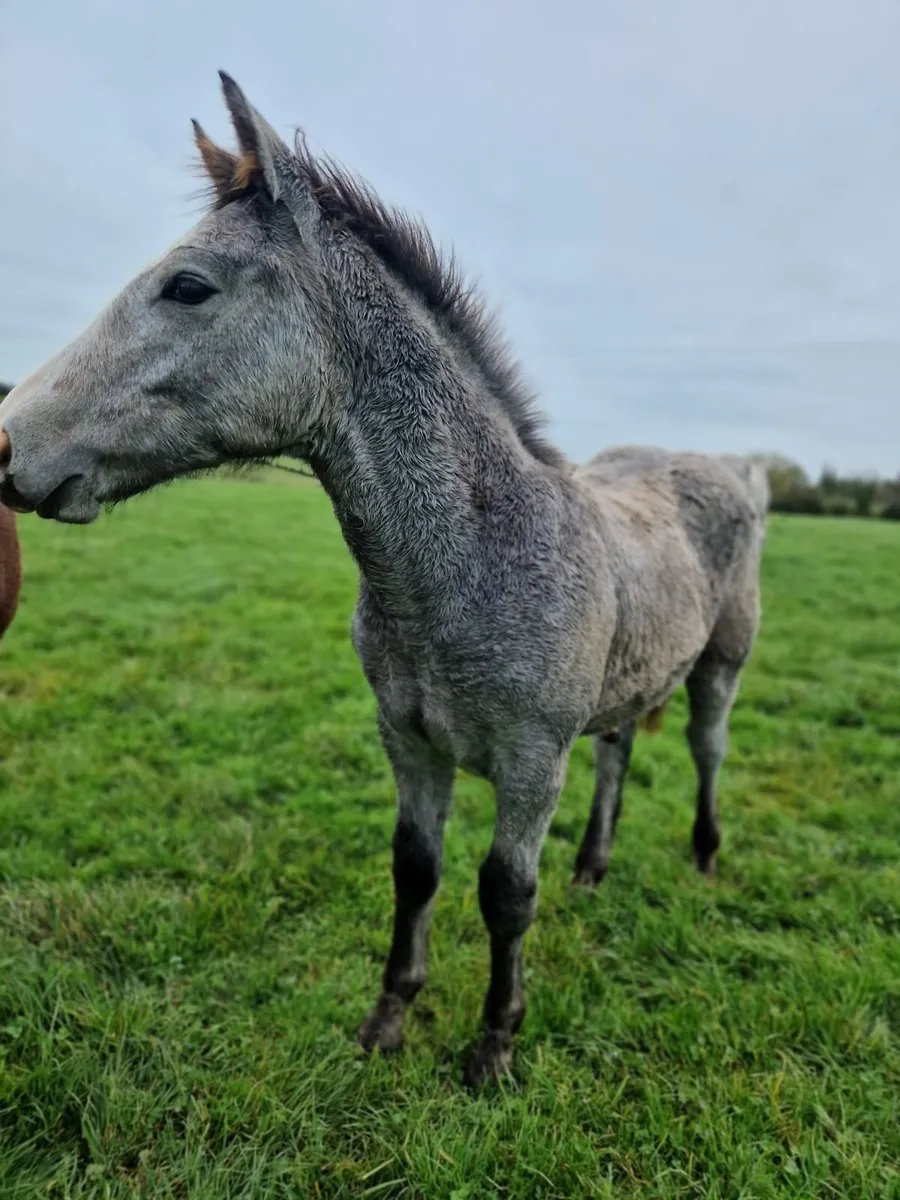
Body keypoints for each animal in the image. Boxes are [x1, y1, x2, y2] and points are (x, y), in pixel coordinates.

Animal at [0, 74, 768, 1086]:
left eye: (188, 285)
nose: (8, 443)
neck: (471, 563)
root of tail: (731, 469)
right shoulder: (408, 740)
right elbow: (418, 869)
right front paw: (388, 1019)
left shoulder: (532, 763)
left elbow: (505, 893)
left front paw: (493, 1047)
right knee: (619, 751)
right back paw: (594, 868)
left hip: (721, 663)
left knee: (706, 748)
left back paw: (707, 856)